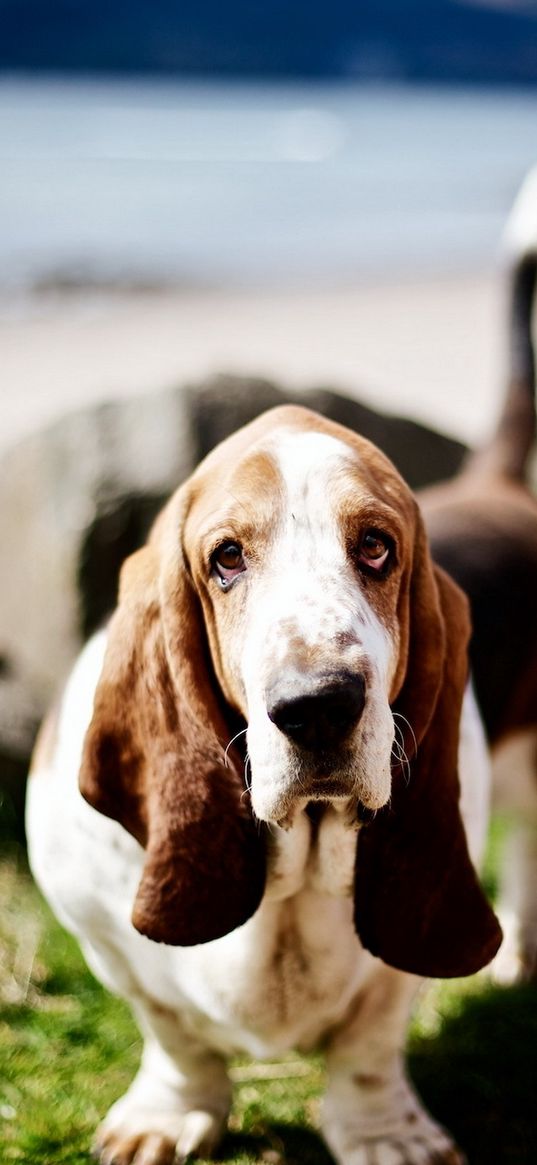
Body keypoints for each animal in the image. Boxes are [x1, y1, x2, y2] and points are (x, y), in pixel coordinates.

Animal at [27, 403, 500, 1165]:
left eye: (375, 546)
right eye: (226, 557)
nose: (318, 705)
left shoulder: (396, 972)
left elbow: (370, 1041)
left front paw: (386, 1136)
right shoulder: (99, 934)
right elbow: (172, 1032)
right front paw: (170, 1114)